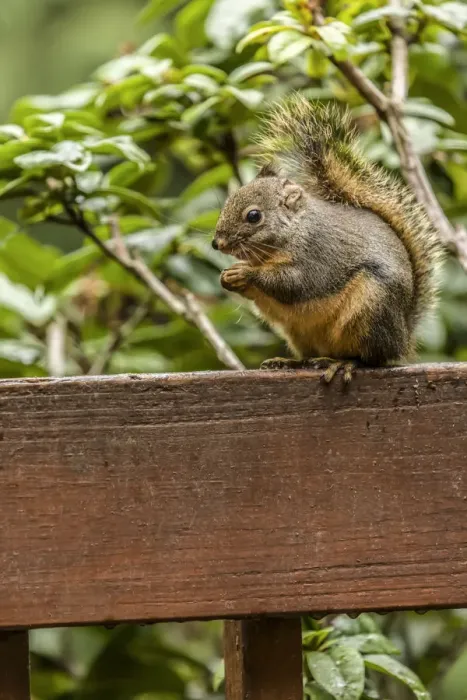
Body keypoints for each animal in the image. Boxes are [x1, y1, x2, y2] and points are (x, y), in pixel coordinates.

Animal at [212, 95, 443, 383]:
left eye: (253, 216)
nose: (217, 243)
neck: (294, 231)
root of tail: (403, 337)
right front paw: (227, 277)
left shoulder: (317, 253)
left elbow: (294, 283)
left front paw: (245, 273)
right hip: (300, 333)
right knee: (310, 354)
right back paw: (290, 362)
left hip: (371, 308)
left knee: (372, 358)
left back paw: (346, 364)